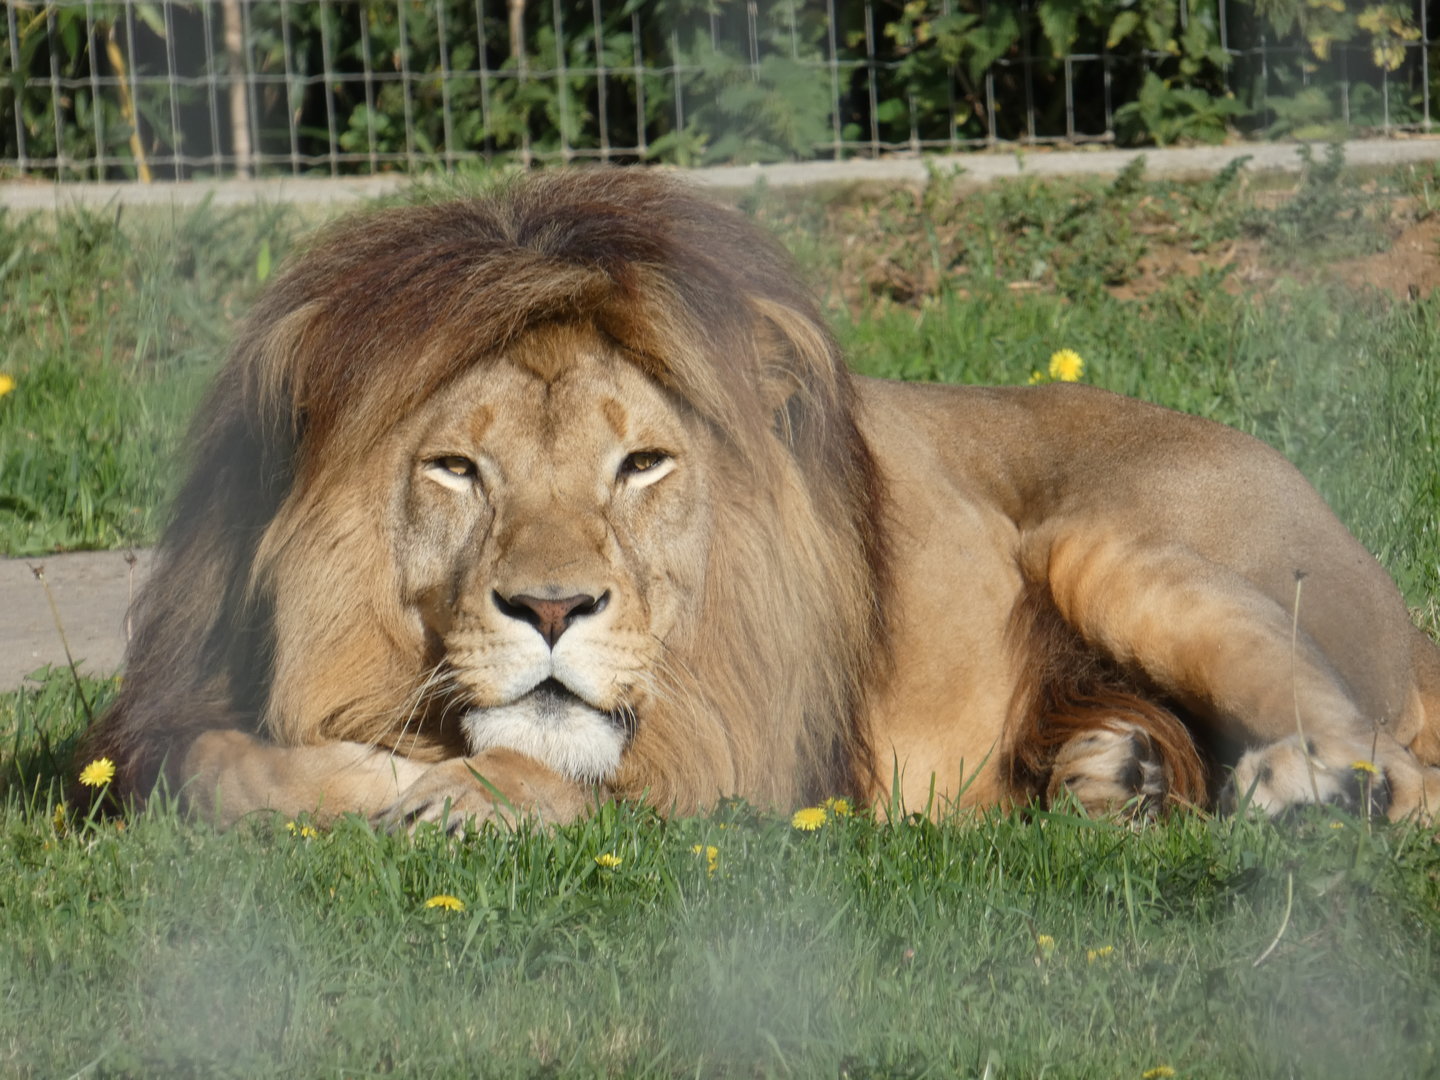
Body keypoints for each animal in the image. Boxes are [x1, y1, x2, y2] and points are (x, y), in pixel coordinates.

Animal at [79, 169, 1440, 830]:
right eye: (458, 469)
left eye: (643, 465)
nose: (553, 610)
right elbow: (213, 766)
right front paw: (360, 777)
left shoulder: (754, 735)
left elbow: (582, 775)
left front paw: (459, 797)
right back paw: (1123, 777)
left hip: (1107, 542)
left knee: (1403, 770)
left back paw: (1306, 788)